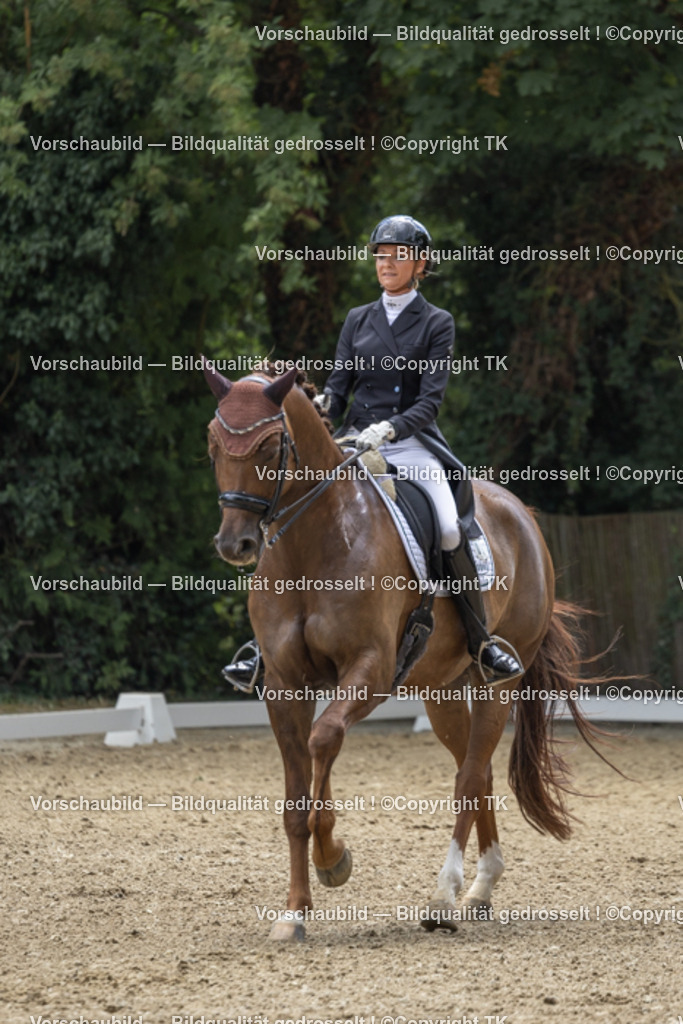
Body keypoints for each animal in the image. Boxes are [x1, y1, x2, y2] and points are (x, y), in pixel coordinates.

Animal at [203, 360, 605, 941]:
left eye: (271, 444)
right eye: (213, 442)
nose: (236, 545)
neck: (314, 543)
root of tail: (520, 511)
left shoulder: (370, 671)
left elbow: (325, 739)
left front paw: (334, 859)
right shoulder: (283, 685)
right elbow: (296, 802)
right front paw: (294, 912)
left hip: (499, 682)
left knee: (469, 777)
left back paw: (444, 896)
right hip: (442, 690)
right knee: (477, 769)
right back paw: (480, 888)